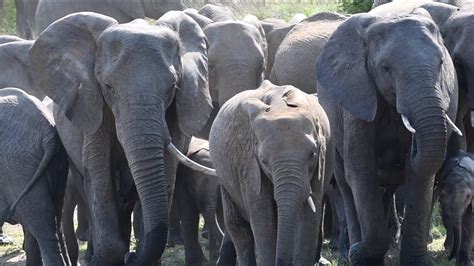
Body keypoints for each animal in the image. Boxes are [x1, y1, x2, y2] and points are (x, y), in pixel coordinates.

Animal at [28, 9, 214, 264]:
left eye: (172, 88)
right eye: (109, 87)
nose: (133, 256)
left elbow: (166, 172)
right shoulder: (93, 105)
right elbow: (99, 176)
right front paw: (107, 257)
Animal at [209, 80, 336, 264]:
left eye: (313, 154)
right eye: (263, 161)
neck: (280, 106)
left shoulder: (322, 161)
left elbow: (310, 217)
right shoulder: (247, 163)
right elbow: (263, 216)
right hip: (224, 177)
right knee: (238, 229)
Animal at [316, 11, 462, 264]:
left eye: (441, 64)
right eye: (385, 68)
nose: (413, 145)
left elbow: (419, 177)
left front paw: (416, 262)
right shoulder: (357, 98)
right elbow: (361, 173)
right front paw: (360, 255)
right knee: (346, 186)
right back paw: (350, 249)